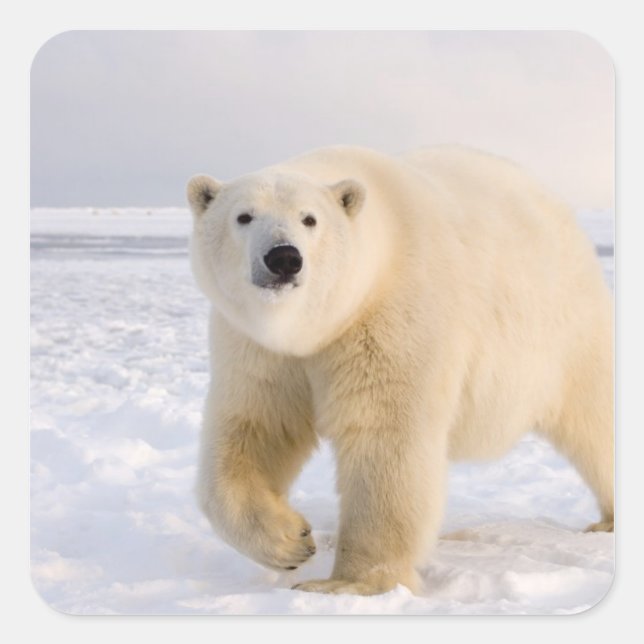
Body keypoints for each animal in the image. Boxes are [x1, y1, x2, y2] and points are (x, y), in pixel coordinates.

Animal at [187, 145, 613, 596]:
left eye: (309, 218)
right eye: (243, 216)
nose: (284, 257)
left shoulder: (392, 317)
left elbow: (384, 437)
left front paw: (348, 583)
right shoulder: (258, 348)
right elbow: (256, 427)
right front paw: (291, 541)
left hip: (566, 329)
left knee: (595, 417)